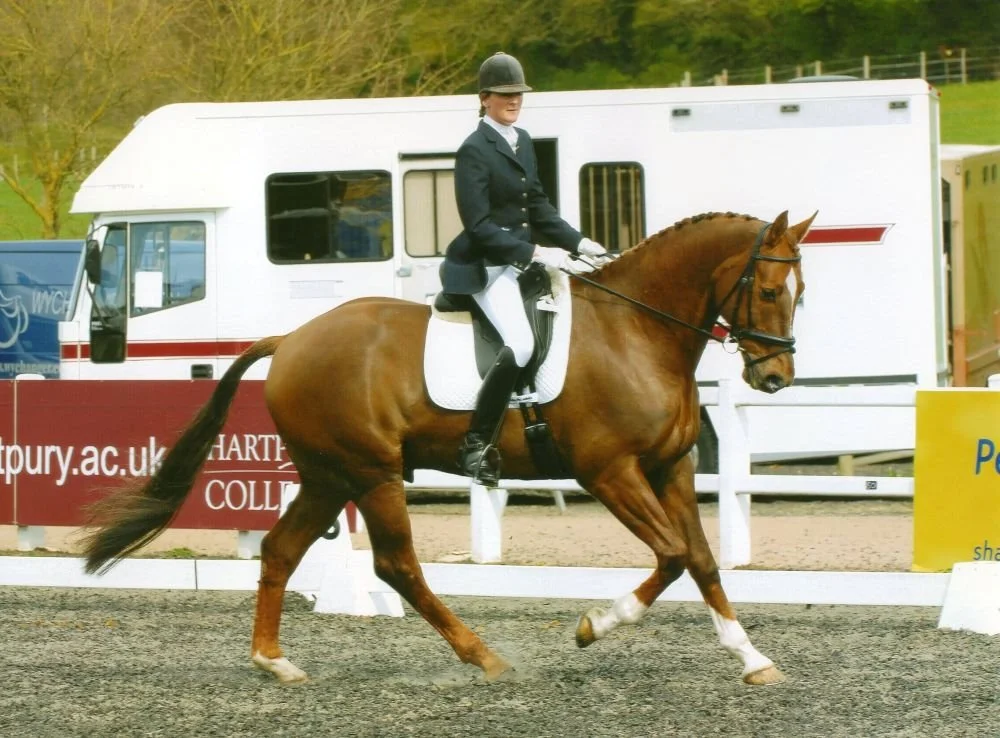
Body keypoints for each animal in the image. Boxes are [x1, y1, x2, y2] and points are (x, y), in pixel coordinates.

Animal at [81, 209, 813, 687]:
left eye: (800, 295)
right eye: (768, 290)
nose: (774, 378)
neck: (636, 330)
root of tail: (290, 340)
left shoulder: (670, 467)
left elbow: (701, 559)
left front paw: (752, 660)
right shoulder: (609, 471)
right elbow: (670, 555)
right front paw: (593, 626)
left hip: (329, 475)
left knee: (282, 550)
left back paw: (274, 662)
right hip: (370, 472)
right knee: (396, 566)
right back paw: (483, 657)